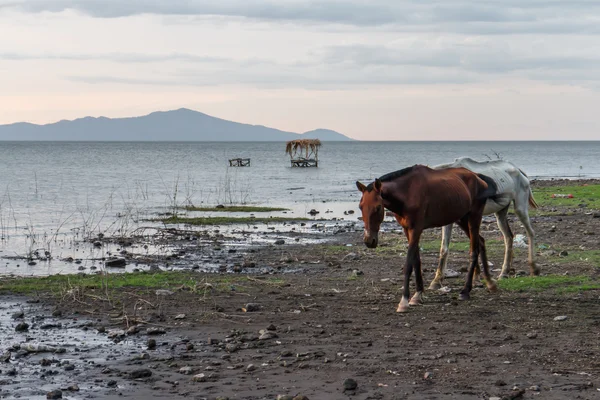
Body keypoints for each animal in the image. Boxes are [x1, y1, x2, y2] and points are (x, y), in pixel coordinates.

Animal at [358, 165, 500, 312]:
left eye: (378, 207)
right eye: (360, 207)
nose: (369, 240)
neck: (407, 192)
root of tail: (477, 176)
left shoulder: (416, 229)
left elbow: (408, 264)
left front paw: (404, 301)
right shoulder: (407, 230)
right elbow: (416, 261)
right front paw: (418, 295)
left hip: (474, 217)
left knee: (473, 251)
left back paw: (466, 291)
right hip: (462, 218)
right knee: (481, 242)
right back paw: (490, 283)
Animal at [426, 155, 540, 290]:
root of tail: (519, 170)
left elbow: (474, 243)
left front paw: (476, 278)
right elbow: (444, 248)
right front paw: (436, 281)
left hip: (520, 206)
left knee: (530, 232)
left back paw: (534, 268)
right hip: (501, 211)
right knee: (508, 236)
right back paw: (504, 272)